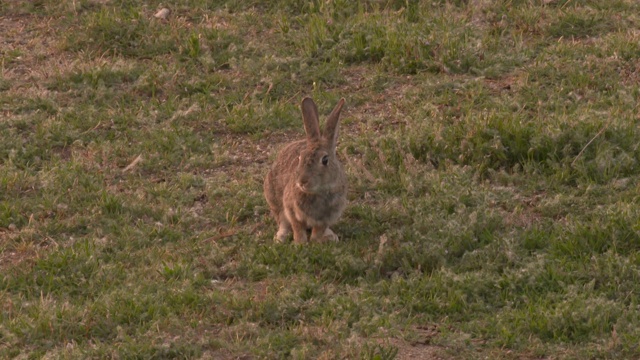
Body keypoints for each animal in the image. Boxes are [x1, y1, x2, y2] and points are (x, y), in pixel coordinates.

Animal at [262, 97, 348, 243]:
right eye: (300, 157)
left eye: (325, 160)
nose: (302, 181)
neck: (318, 192)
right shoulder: (291, 208)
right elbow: (297, 227)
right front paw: (300, 243)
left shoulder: (327, 216)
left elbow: (319, 229)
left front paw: (315, 241)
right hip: (273, 198)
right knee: (282, 221)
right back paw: (280, 238)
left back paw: (330, 236)